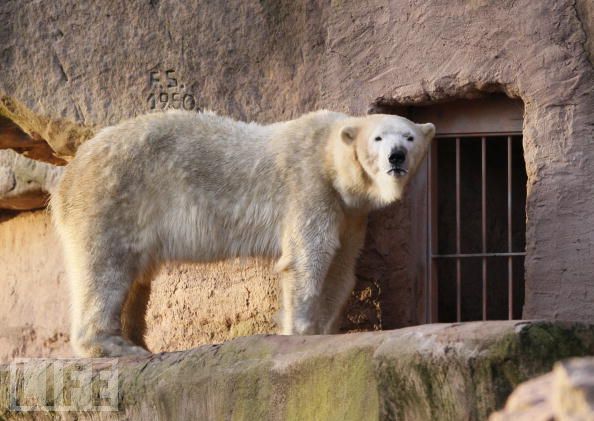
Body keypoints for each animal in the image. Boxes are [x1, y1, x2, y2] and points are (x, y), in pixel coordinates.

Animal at [52, 109, 434, 354]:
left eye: (410, 136)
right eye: (378, 137)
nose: (396, 156)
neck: (328, 154)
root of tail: (67, 177)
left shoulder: (350, 213)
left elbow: (341, 268)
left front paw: (326, 328)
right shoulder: (309, 187)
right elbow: (309, 257)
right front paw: (303, 332)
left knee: (136, 276)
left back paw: (136, 341)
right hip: (113, 196)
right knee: (105, 267)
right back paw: (113, 345)